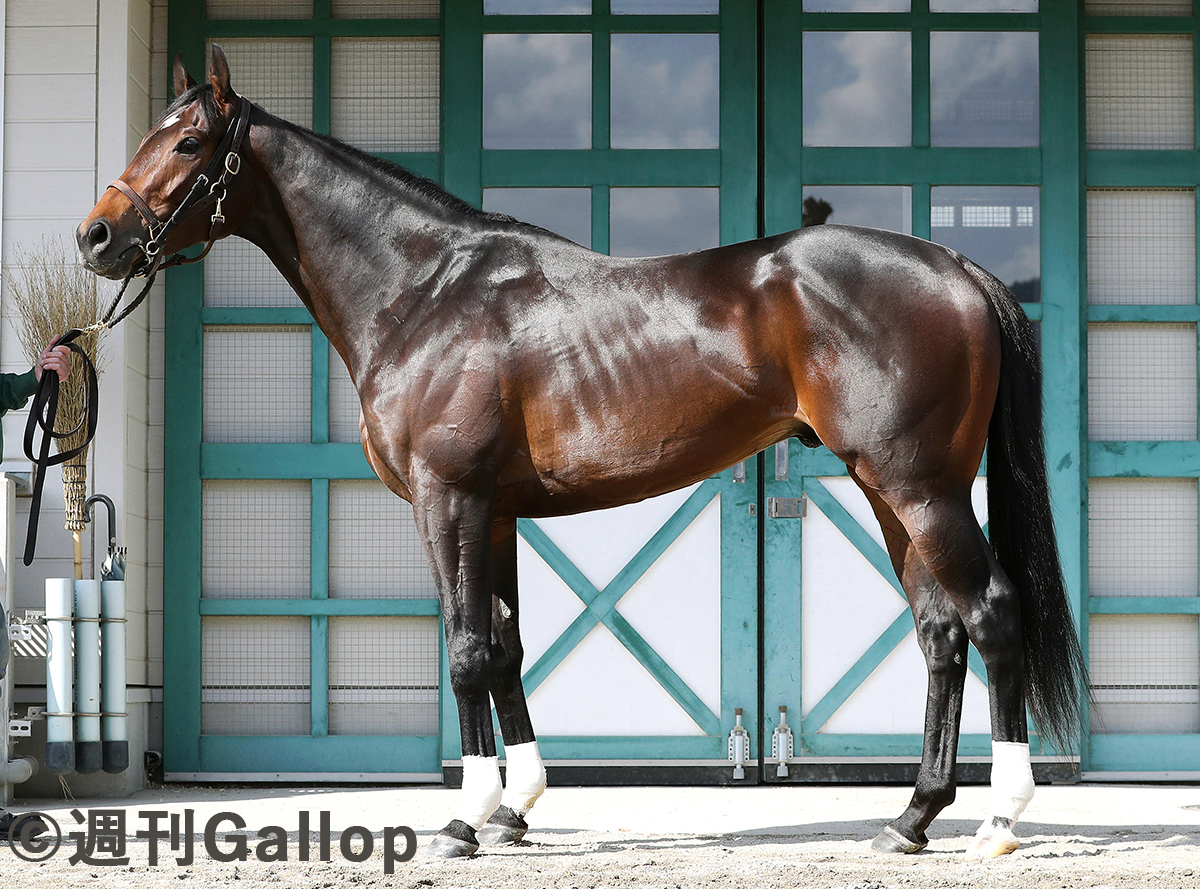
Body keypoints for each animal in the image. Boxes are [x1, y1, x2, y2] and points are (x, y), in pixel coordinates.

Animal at [77, 46, 1086, 860]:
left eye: (188, 143)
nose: (96, 236)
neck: (424, 289)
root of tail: (955, 267)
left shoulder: (448, 500)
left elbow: (466, 648)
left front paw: (464, 819)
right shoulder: (495, 513)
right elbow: (507, 643)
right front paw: (513, 808)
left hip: (923, 488)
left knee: (992, 614)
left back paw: (998, 821)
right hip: (889, 489)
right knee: (940, 633)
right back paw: (911, 818)